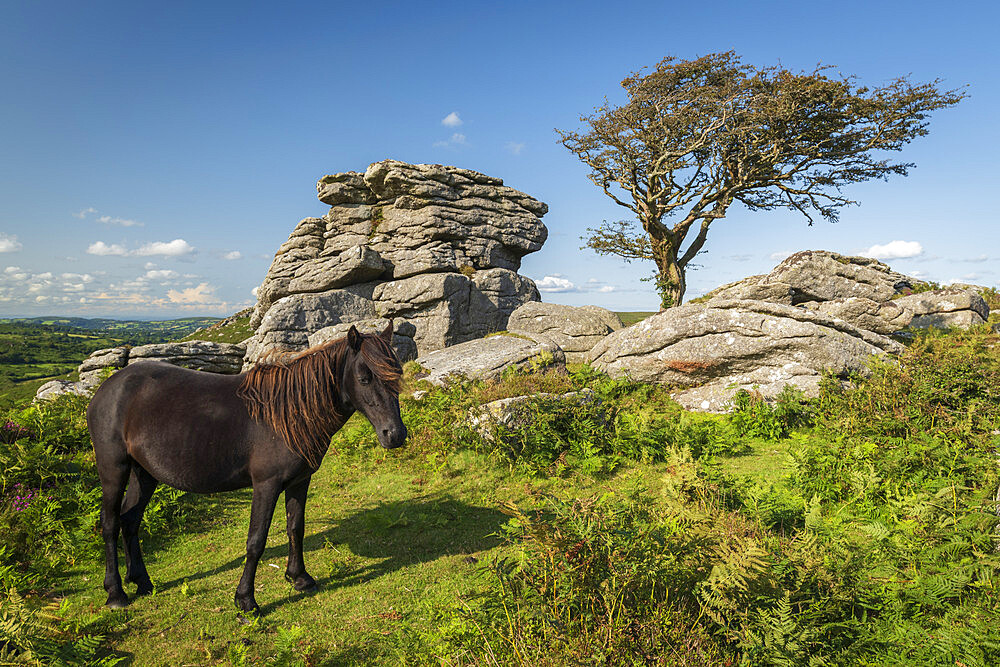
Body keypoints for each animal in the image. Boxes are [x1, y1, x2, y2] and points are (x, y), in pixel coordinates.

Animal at [87, 324, 406, 616]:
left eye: (397, 374)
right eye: (364, 378)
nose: (395, 435)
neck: (287, 413)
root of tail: (107, 388)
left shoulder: (300, 481)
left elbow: (295, 527)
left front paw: (299, 578)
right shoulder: (266, 485)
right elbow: (256, 541)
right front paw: (246, 600)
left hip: (145, 474)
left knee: (130, 520)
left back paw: (142, 581)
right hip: (113, 469)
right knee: (110, 523)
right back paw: (115, 593)